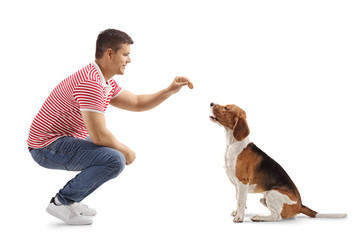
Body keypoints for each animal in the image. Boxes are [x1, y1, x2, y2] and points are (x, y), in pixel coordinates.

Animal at [210, 102, 348, 222]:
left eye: (226, 108)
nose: (211, 103)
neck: (232, 143)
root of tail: (300, 205)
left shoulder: (242, 183)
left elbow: (241, 201)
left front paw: (239, 217)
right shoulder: (237, 185)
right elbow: (237, 200)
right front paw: (236, 212)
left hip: (271, 193)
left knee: (277, 217)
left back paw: (258, 217)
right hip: (264, 199)